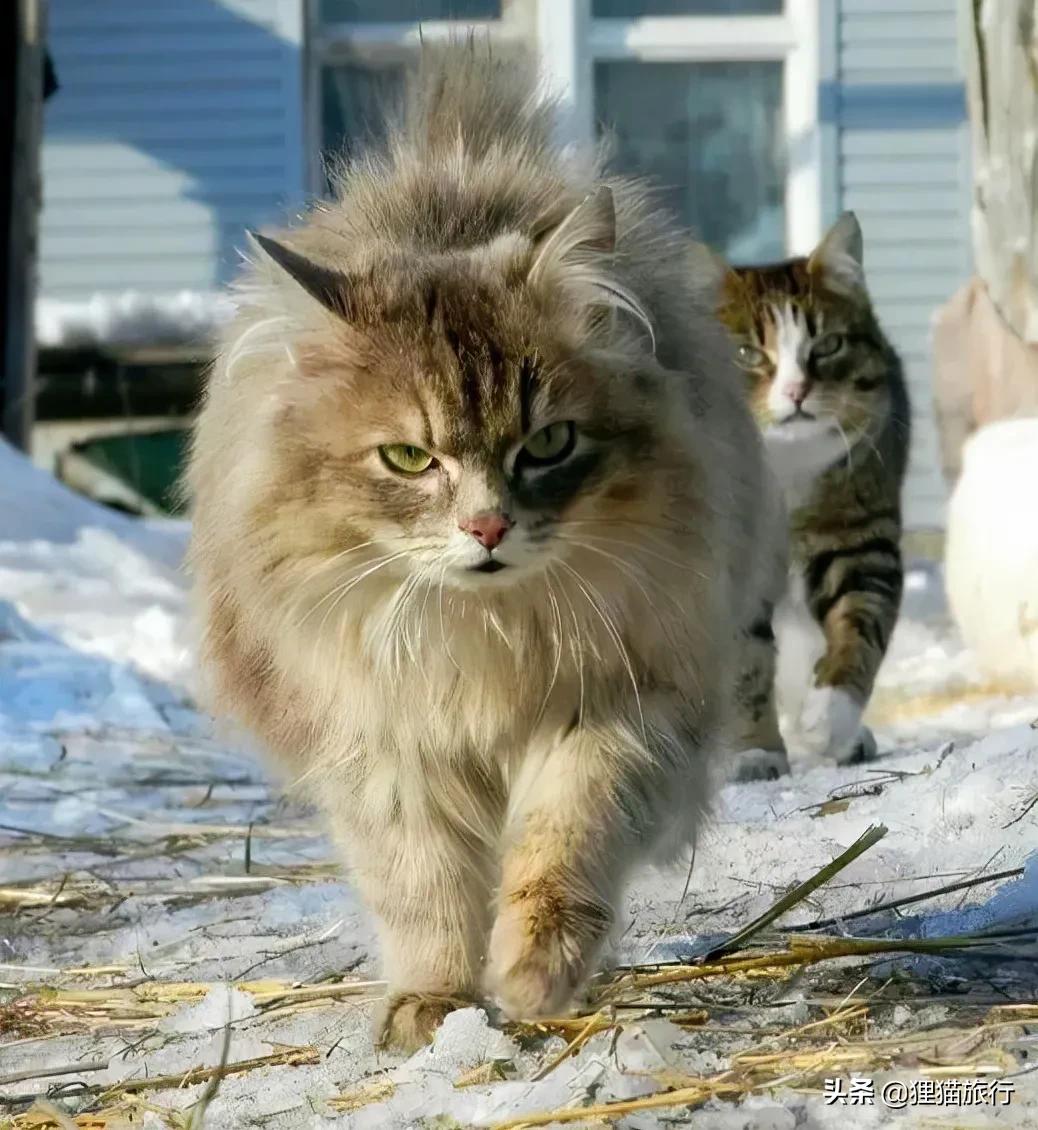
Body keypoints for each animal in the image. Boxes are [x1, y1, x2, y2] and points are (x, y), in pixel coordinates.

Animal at [188, 44, 786, 1048]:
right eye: (407, 457)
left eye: (546, 445)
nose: (487, 526)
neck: (488, 639)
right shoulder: (388, 752)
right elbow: (424, 892)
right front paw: (433, 1006)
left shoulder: (619, 712)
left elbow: (562, 848)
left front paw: (537, 975)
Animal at [722, 212, 908, 763]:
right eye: (746, 353)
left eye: (827, 345)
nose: (796, 391)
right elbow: (744, 662)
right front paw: (753, 752)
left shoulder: (858, 537)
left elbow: (858, 626)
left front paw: (828, 720)